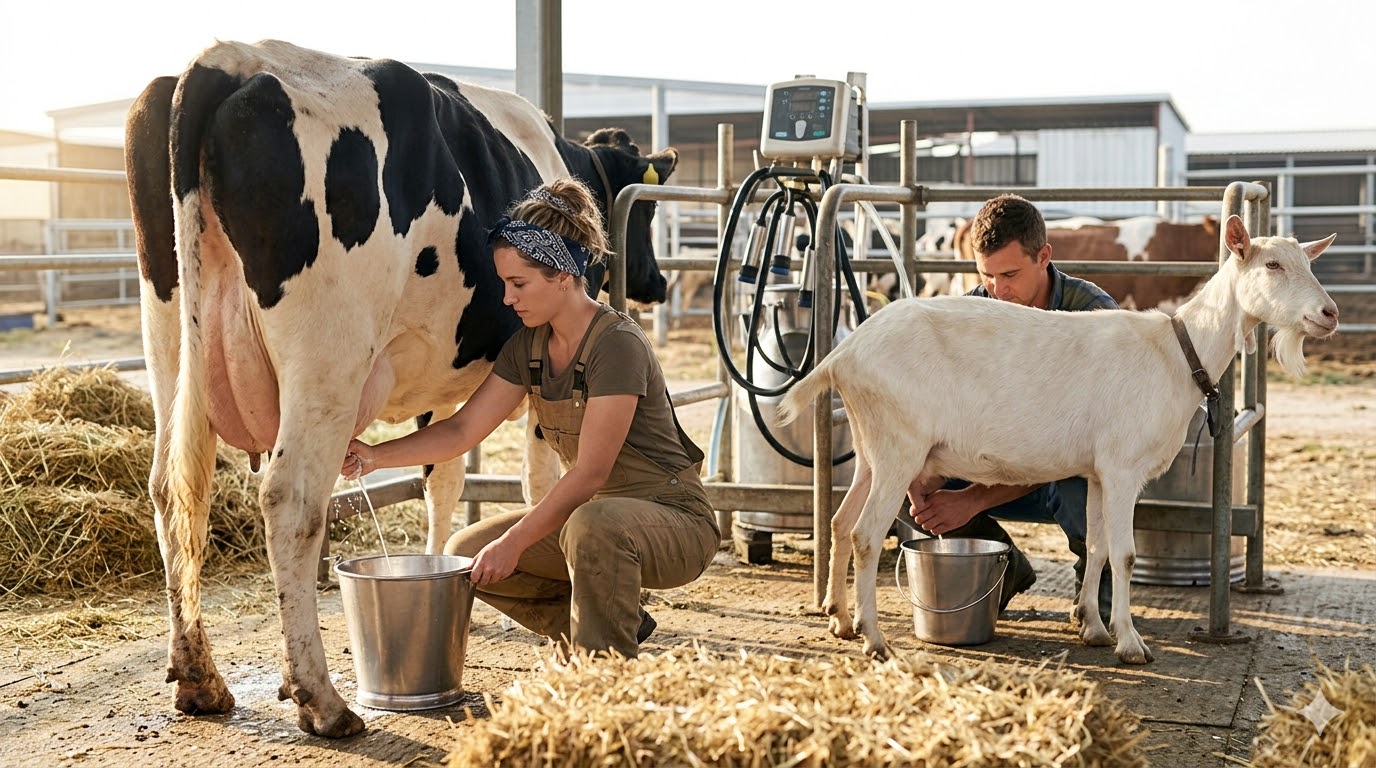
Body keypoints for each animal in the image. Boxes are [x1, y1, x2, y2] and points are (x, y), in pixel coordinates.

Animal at [123, 39, 677, 738]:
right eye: (648, 208)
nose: (659, 282)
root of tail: (233, 58)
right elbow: (540, 480)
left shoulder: (439, 389)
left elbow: (441, 477)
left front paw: (445, 568)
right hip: (327, 354)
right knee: (290, 500)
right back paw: (322, 701)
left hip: (167, 335)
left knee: (174, 491)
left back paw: (199, 679)